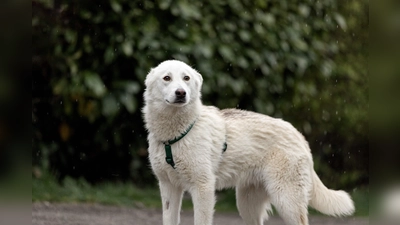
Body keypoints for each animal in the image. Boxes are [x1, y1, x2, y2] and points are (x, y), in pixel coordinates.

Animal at [142, 60, 354, 225]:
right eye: (167, 78)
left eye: (186, 78)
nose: (181, 93)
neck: (175, 137)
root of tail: (298, 135)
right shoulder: (169, 187)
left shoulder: (203, 188)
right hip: (247, 204)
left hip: (286, 200)